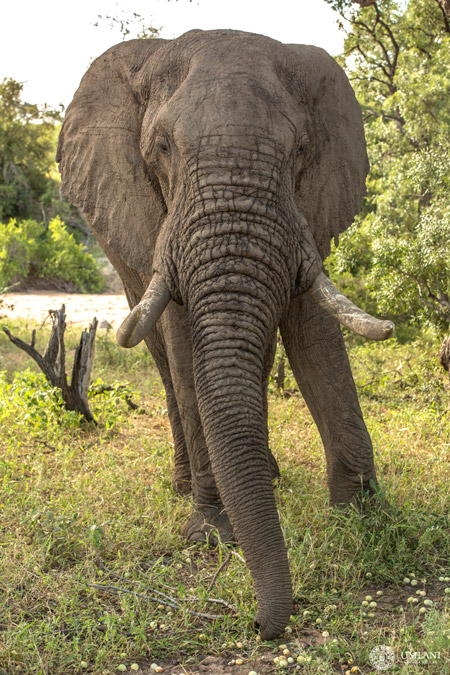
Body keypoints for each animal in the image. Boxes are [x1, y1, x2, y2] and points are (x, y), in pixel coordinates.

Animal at [57, 30, 394, 640]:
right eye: (162, 147)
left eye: (301, 150)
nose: (260, 625)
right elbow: (184, 340)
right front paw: (212, 537)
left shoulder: (303, 209)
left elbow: (313, 328)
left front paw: (363, 517)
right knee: (162, 353)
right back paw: (186, 488)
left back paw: (269, 477)